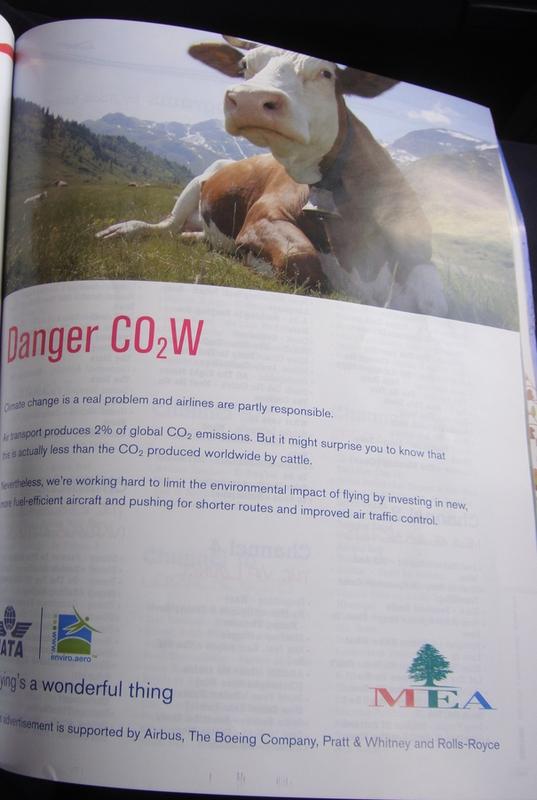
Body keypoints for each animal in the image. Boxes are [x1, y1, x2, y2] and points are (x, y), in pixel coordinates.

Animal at [97, 37, 447, 316]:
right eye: (245, 65)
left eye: (326, 73)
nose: (249, 99)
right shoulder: (264, 215)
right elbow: (301, 260)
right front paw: (248, 259)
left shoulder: (420, 257)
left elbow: (437, 301)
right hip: (198, 182)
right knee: (164, 226)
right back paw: (127, 229)